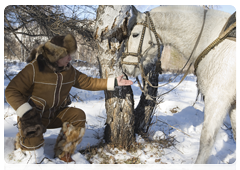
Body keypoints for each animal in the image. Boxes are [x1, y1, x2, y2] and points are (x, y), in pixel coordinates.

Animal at [123, 5, 237, 170]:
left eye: (135, 34)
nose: (126, 67)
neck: (213, 39)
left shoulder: (218, 99)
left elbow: (206, 139)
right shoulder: (234, 104)